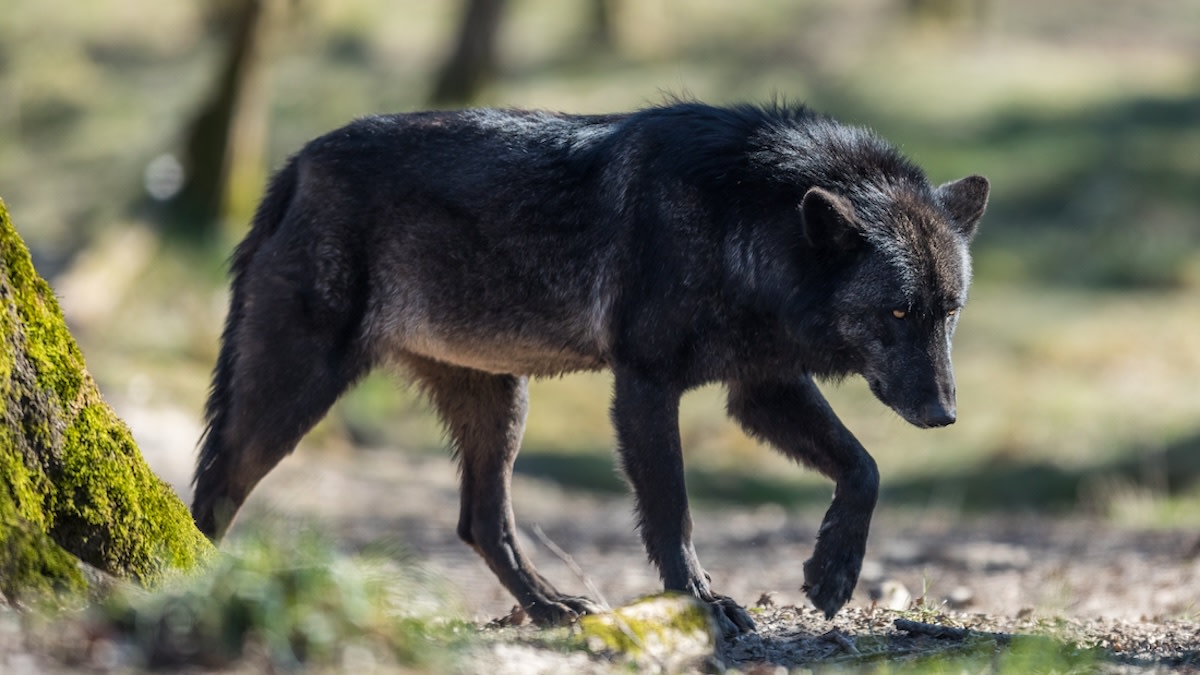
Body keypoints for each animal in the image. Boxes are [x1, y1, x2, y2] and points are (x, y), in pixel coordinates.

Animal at [191, 101, 988, 635]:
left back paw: (549, 606)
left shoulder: (761, 389)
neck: (743, 217)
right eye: (897, 313)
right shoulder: (645, 386)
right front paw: (703, 601)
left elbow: (865, 467)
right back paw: (189, 574)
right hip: (292, 392)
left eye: (949, 311)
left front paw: (833, 572)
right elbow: (672, 512)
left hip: (502, 405)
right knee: (215, 490)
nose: (945, 414)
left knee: (481, 522)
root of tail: (298, 164)